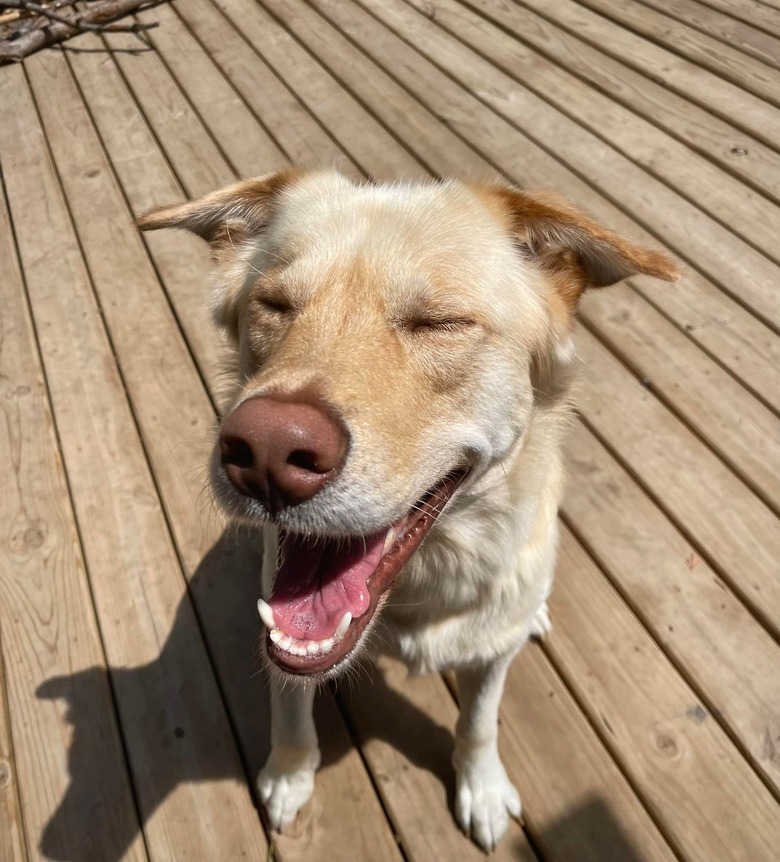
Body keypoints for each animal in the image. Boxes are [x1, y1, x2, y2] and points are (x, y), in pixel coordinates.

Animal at [139, 167, 676, 852]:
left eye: (438, 323)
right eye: (274, 305)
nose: (264, 451)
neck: (423, 587)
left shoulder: (489, 656)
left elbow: (479, 723)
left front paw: (482, 788)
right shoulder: (281, 633)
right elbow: (289, 702)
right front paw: (289, 774)